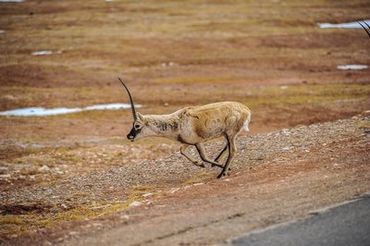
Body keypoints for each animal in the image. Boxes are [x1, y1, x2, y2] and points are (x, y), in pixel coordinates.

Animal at [118, 78, 251, 178]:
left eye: (137, 125)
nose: (129, 136)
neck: (177, 121)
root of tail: (246, 110)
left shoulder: (197, 142)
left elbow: (204, 157)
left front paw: (222, 168)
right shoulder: (188, 142)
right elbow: (182, 150)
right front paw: (201, 164)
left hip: (230, 133)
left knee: (233, 150)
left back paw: (221, 173)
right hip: (227, 134)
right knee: (228, 146)